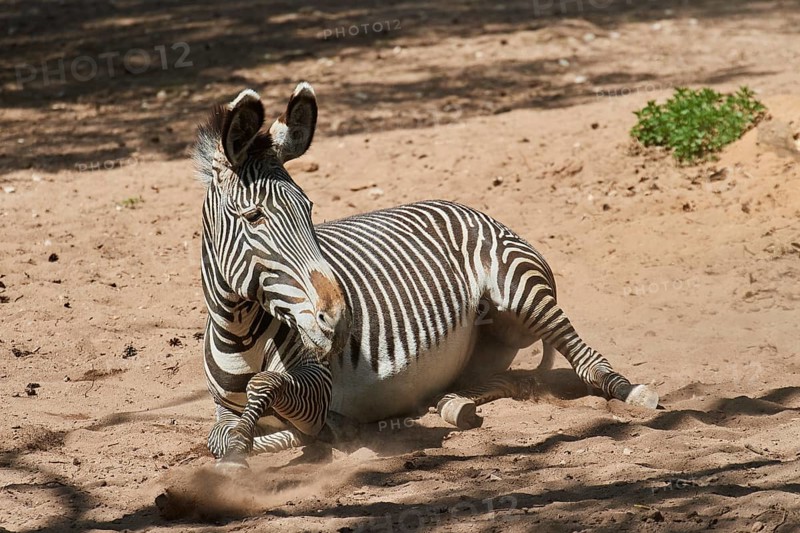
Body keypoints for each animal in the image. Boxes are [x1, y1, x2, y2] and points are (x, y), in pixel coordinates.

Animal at [196, 83, 659, 466]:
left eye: (308, 210)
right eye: (254, 217)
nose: (340, 319)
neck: (240, 334)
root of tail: (462, 205)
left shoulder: (317, 385)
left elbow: (264, 384)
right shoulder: (225, 408)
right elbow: (220, 436)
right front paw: (242, 447)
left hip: (521, 288)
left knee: (583, 357)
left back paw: (632, 391)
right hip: (486, 348)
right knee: (497, 381)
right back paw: (453, 405)